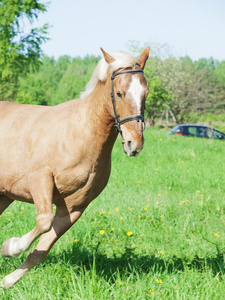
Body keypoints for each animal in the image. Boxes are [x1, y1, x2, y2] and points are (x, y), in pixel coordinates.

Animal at [1, 47, 149, 288]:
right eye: (119, 93)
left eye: (145, 93)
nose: (133, 144)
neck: (80, 133)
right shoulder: (39, 179)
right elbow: (43, 221)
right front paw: (10, 247)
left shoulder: (73, 208)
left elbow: (40, 251)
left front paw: (7, 281)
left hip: (5, 195)